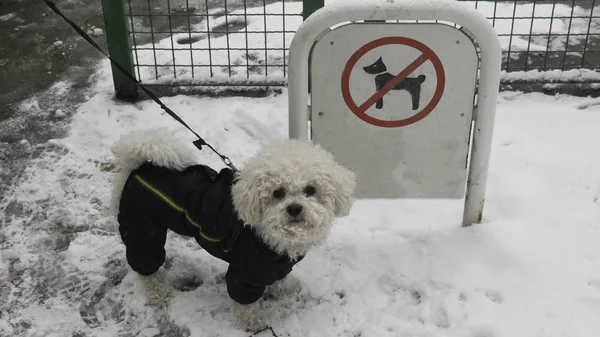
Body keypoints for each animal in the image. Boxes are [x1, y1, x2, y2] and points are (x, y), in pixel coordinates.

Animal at [110, 126, 356, 328]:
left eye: (311, 190)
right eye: (277, 193)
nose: (294, 208)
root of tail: (139, 167)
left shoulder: (273, 265)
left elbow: (279, 278)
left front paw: (285, 288)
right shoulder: (245, 271)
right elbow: (244, 302)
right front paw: (253, 323)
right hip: (142, 228)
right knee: (146, 266)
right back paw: (158, 294)